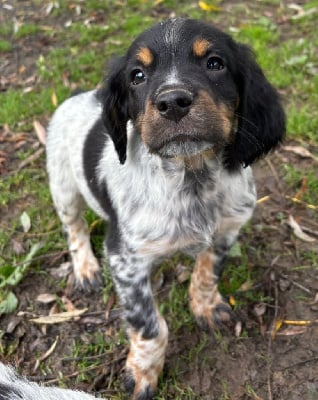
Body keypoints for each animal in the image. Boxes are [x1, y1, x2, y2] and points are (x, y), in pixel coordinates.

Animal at [45, 17, 286, 398]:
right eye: (137, 75)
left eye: (214, 63)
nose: (173, 101)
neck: (192, 178)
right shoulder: (125, 259)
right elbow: (150, 326)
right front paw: (144, 372)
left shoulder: (226, 230)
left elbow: (207, 273)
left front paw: (206, 307)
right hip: (64, 187)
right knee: (75, 227)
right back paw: (84, 268)